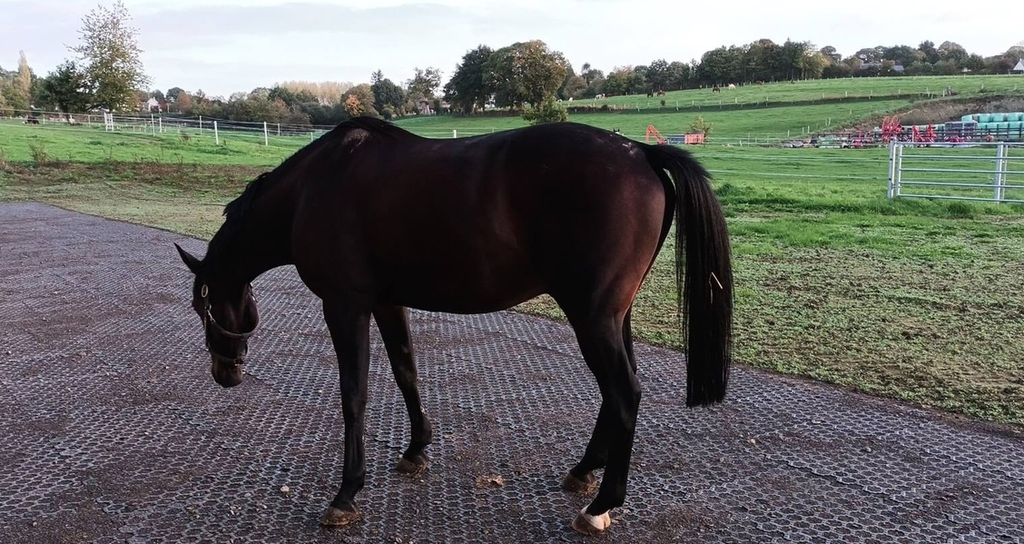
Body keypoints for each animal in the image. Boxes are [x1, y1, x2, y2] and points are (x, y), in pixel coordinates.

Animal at [174, 117, 733, 536]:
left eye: (203, 308)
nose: (225, 373)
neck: (313, 187)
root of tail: (641, 153)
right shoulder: (387, 303)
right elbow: (406, 372)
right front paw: (416, 450)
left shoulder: (345, 306)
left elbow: (354, 395)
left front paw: (346, 493)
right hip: (613, 315)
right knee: (618, 393)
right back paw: (583, 472)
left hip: (591, 316)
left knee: (624, 393)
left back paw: (600, 506)